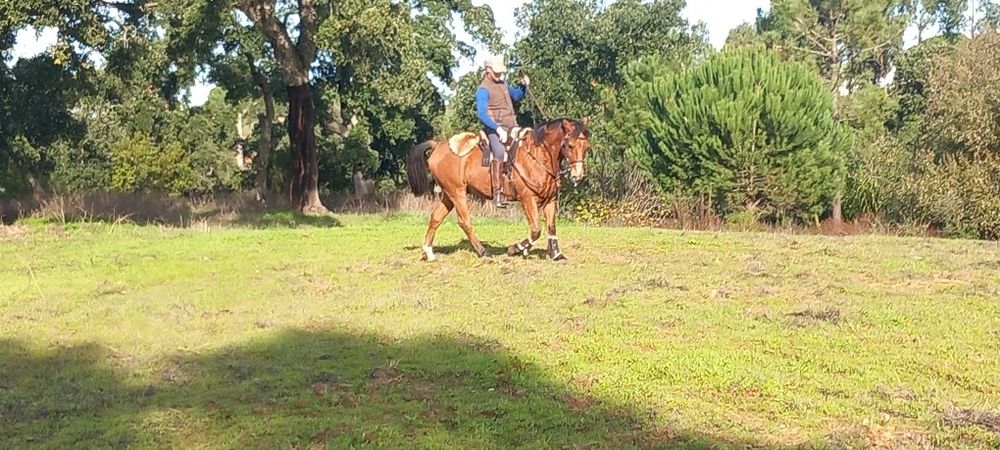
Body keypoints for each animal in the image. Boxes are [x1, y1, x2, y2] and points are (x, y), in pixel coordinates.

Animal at [406, 117, 591, 262]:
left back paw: (429, 252)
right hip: (457, 193)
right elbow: (536, 230)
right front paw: (516, 249)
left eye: (586, 146)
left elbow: (551, 227)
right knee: (464, 221)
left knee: (436, 217)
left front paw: (556, 254)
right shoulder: (527, 198)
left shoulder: (551, 199)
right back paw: (483, 251)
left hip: (448, 195)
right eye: (570, 145)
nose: (578, 175)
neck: (538, 156)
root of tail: (438, 145)